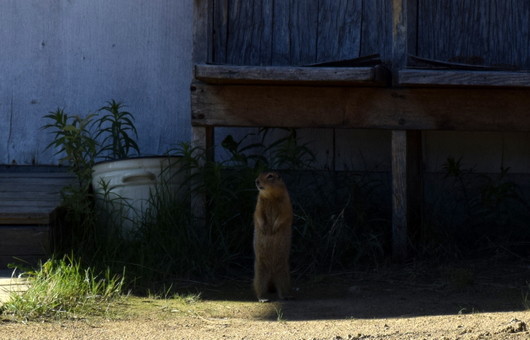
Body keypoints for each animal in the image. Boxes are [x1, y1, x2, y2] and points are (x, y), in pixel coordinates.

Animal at [253, 171, 292, 302]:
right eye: (259, 174)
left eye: (270, 176)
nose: (257, 181)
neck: (270, 197)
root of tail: (271, 275)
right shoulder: (259, 204)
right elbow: (258, 214)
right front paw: (265, 229)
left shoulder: (286, 202)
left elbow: (284, 215)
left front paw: (274, 228)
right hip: (260, 273)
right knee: (259, 287)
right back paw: (262, 298)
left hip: (283, 274)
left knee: (282, 287)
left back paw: (285, 296)